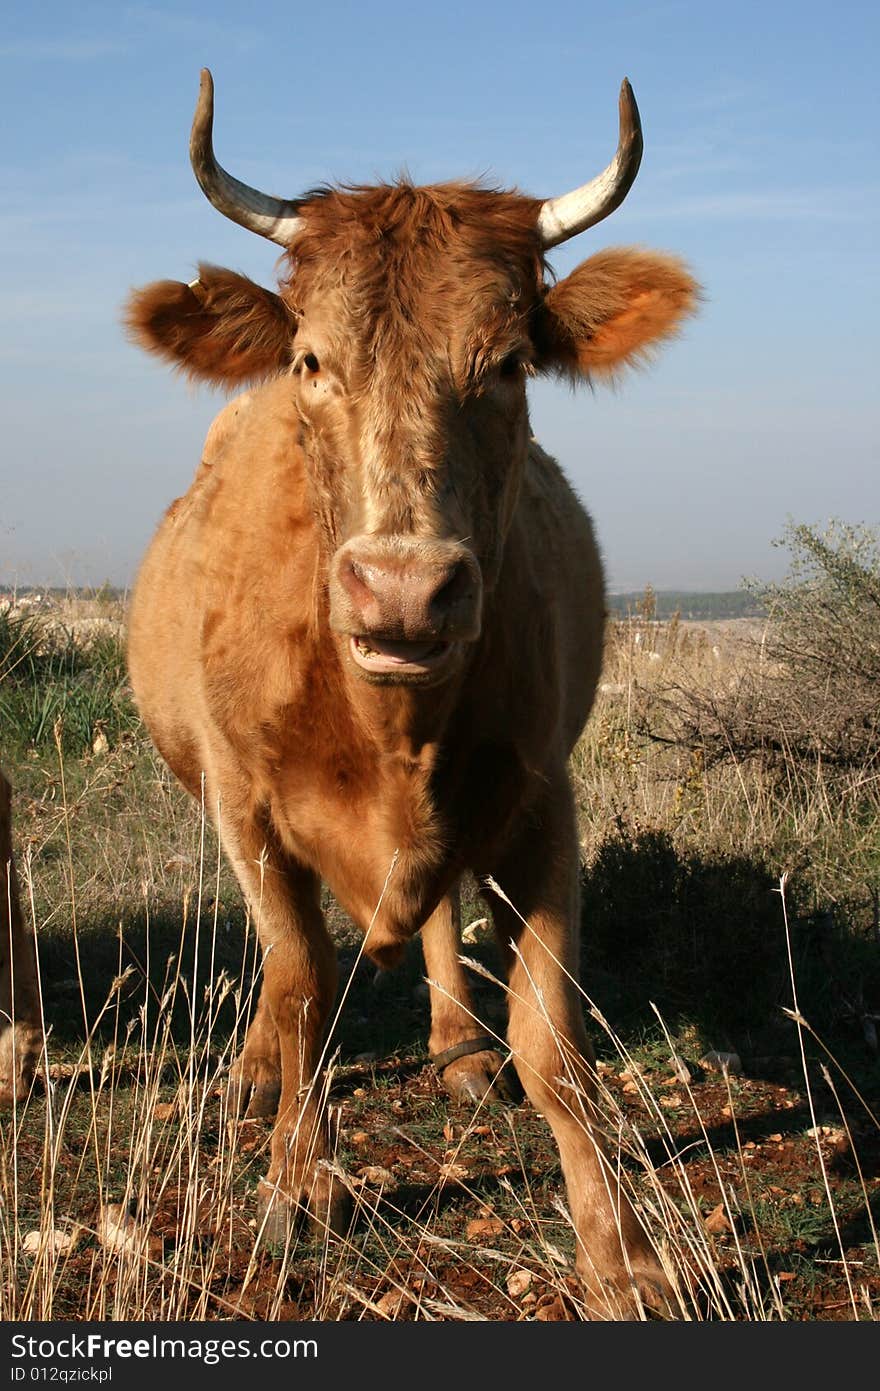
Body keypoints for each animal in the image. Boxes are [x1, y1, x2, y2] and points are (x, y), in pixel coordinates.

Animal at [125, 73, 700, 1313]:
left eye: (509, 361)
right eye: (309, 359)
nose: (401, 589)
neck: (391, 727)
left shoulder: (542, 801)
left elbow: (553, 1041)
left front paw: (622, 1251)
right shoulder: (247, 808)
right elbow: (302, 985)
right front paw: (299, 1183)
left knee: (437, 914)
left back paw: (456, 1044)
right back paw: (256, 1073)